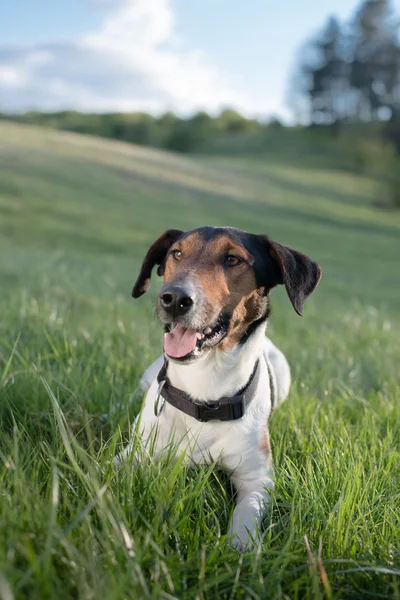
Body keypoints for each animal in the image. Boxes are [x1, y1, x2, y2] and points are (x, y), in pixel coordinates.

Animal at [119, 227, 322, 552]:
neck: (205, 389)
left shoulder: (257, 479)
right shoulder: (135, 455)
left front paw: (241, 547)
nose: (174, 298)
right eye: (176, 253)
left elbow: (246, 514)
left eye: (233, 259)